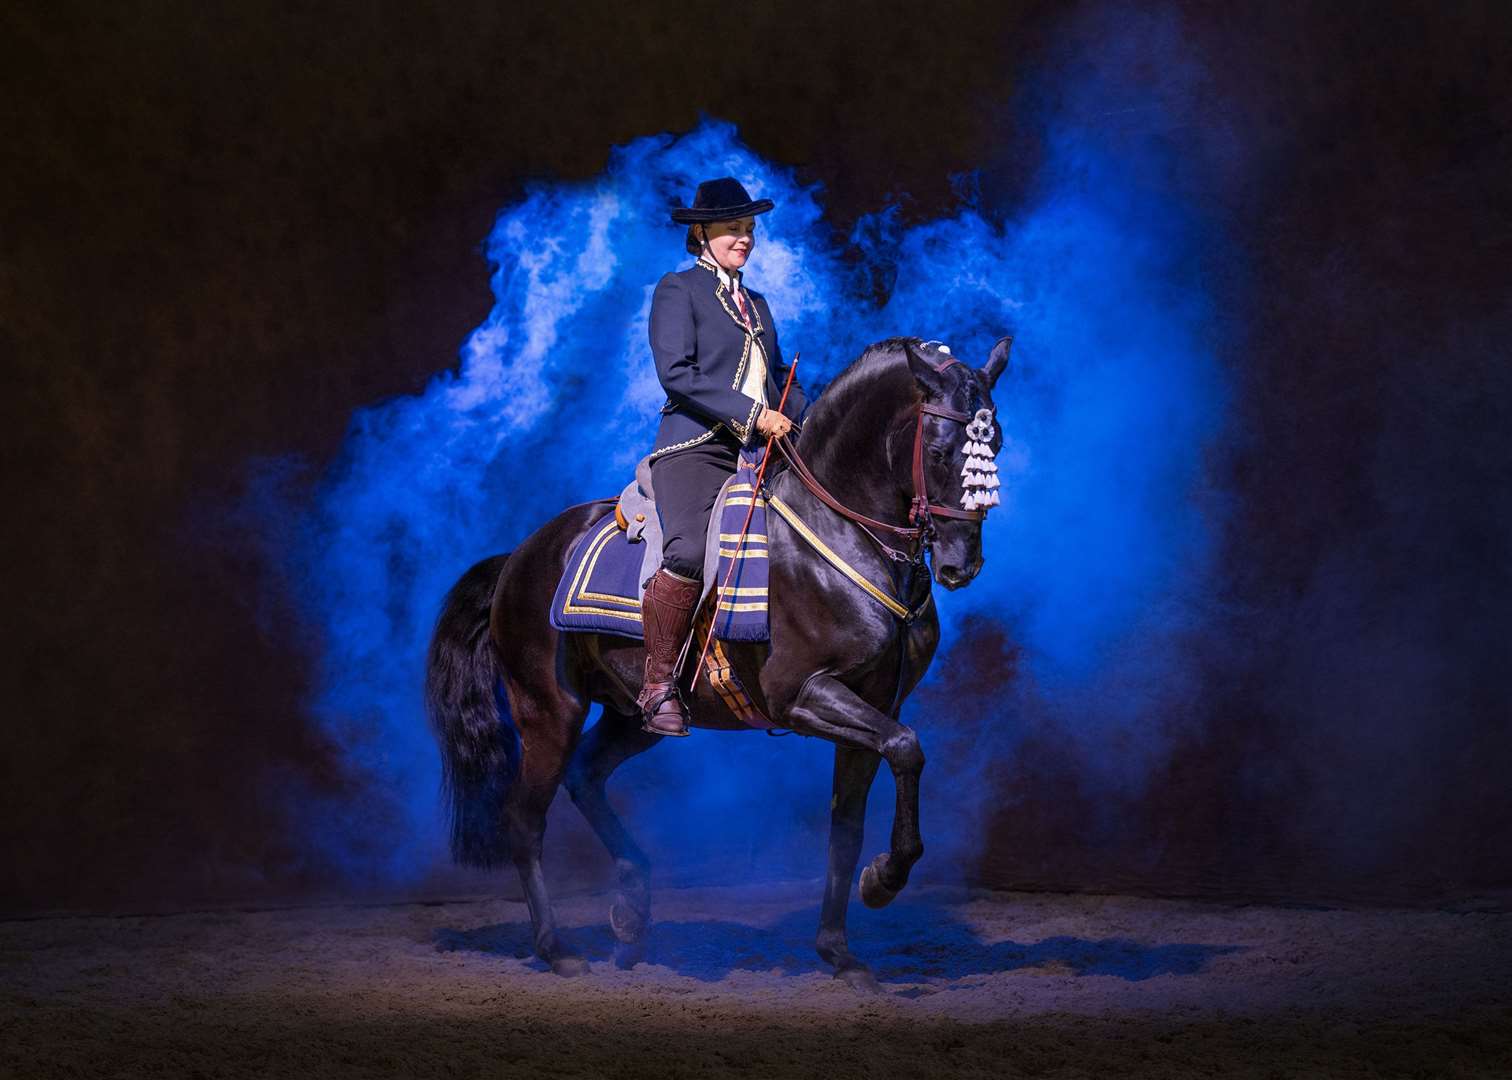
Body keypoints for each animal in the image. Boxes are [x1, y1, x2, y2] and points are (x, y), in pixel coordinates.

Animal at [429, 334, 1016, 986]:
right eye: (938, 452)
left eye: (995, 446)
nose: (962, 565)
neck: (838, 534)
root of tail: (519, 555)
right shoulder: (803, 695)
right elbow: (908, 749)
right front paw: (885, 881)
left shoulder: (872, 705)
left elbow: (849, 824)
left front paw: (839, 950)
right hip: (547, 711)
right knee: (525, 819)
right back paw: (558, 949)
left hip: (632, 715)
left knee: (586, 775)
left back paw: (631, 916)